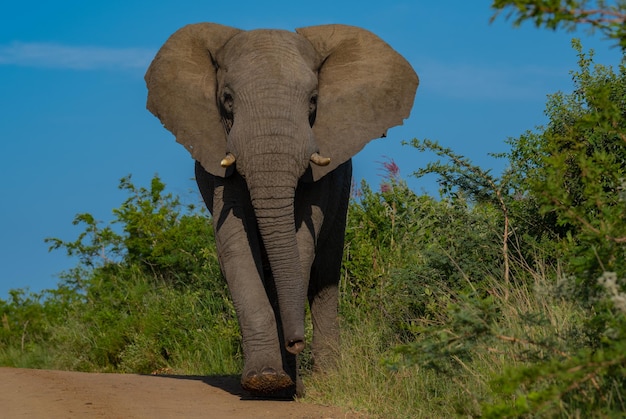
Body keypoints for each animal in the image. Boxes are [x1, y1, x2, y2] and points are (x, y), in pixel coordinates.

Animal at [146, 22, 416, 398]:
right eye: (227, 99)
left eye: (314, 100)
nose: (295, 342)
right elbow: (235, 246)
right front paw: (265, 379)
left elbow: (301, 245)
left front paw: (284, 383)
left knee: (325, 274)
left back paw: (323, 378)